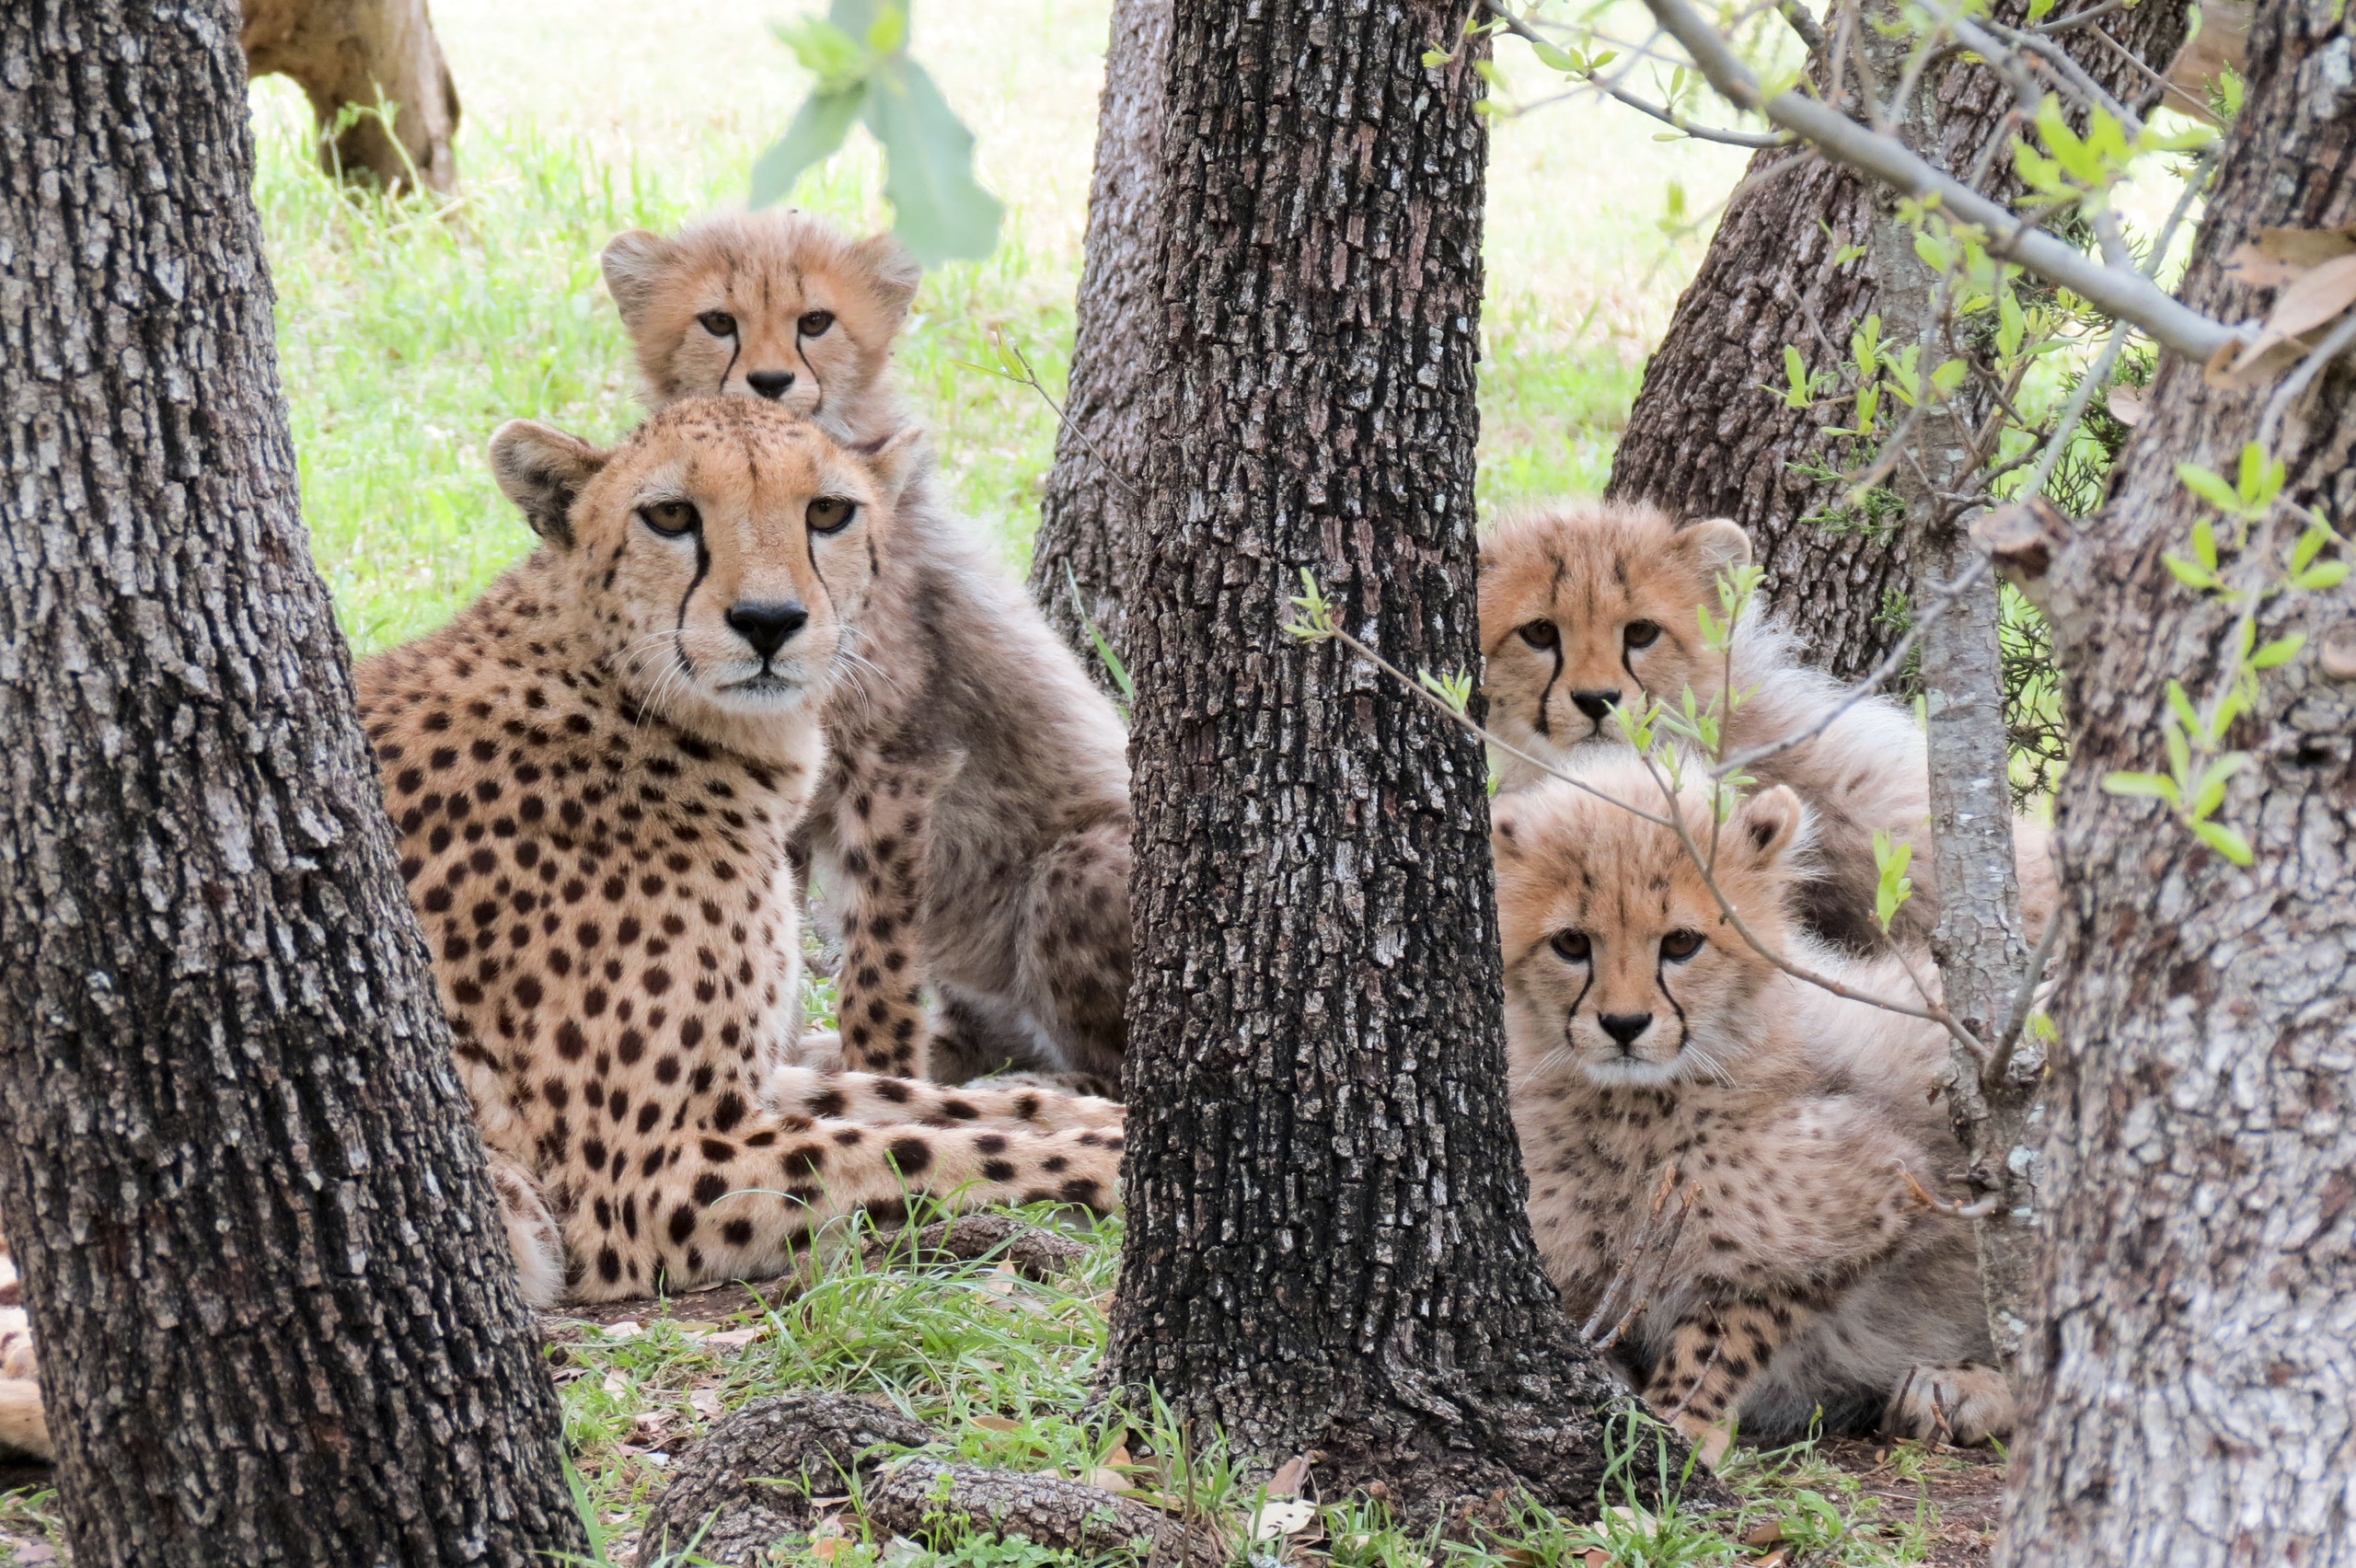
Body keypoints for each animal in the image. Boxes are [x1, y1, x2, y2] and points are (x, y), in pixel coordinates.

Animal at [352, 396, 1124, 1306]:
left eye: (827, 512)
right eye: (668, 516)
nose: (768, 622)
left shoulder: (751, 1085)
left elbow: (914, 1098)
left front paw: (1116, 1120)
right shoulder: (646, 1177)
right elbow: (938, 1150)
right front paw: (1113, 1162)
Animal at [599, 211, 1132, 1095]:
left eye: (816, 321)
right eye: (718, 322)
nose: (770, 381)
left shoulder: (897, 762)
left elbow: (879, 952)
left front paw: (879, 1080)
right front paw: (769, 1066)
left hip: (1076, 861)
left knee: (1118, 1077)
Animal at [1492, 750, 2015, 1465]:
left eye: (1681, 942)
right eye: (1571, 944)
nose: (1624, 1025)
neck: (1632, 1112)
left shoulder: (1892, 1189)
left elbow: (1728, 1321)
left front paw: (1680, 1427)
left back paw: (1957, 1390)